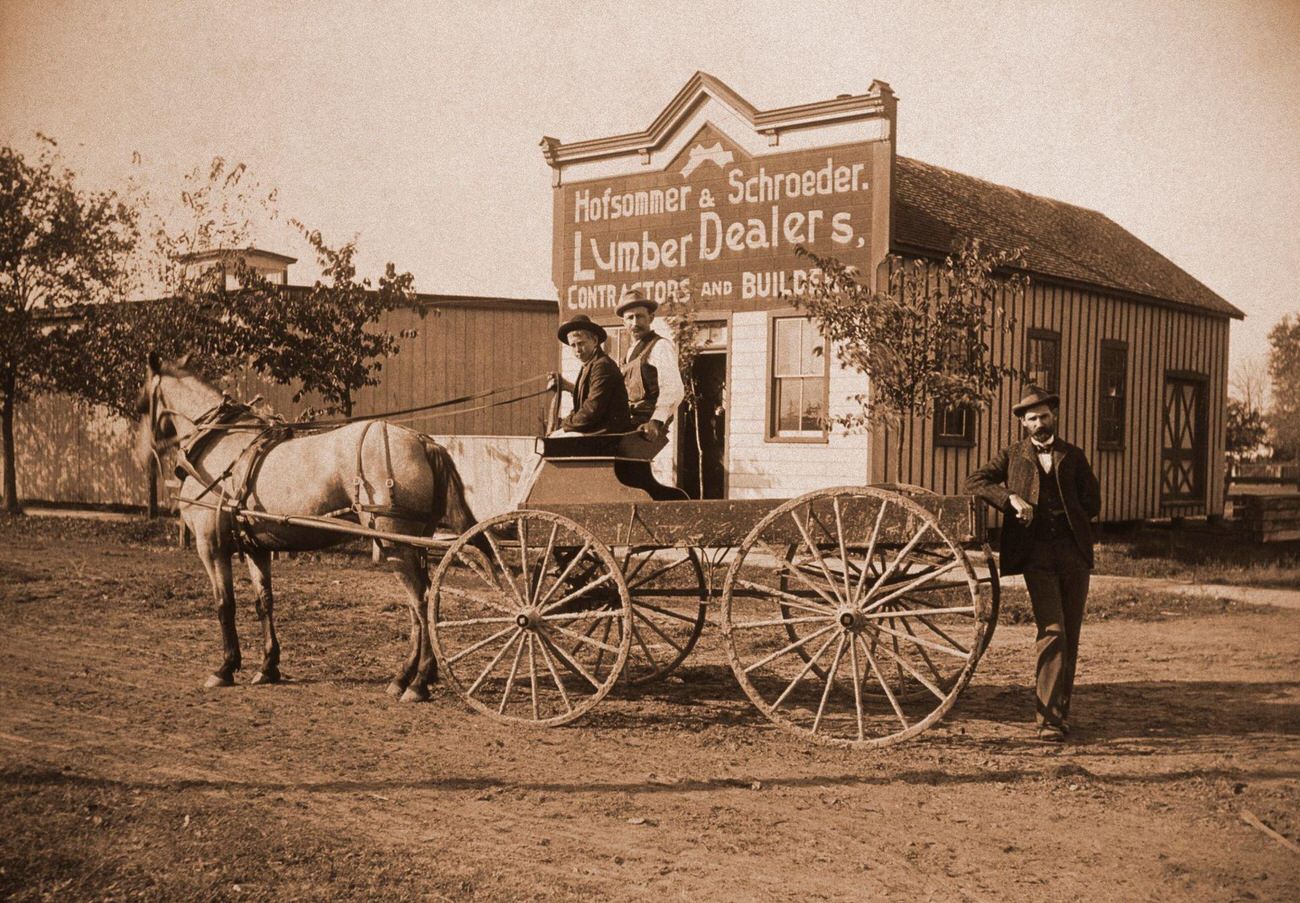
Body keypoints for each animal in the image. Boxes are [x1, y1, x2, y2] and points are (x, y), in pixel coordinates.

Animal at [134, 350, 486, 701]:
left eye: (140, 405)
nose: (141, 458)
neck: (219, 444)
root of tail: (422, 440)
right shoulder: (256, 549)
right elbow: (264, 602)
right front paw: (267, 666)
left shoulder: (211, 546)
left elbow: (225, 605)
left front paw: (225, 668)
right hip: (411, 544)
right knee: (419, 607)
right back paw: (405, 677)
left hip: (395, 543)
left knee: (422, 603)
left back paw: (418, 681)